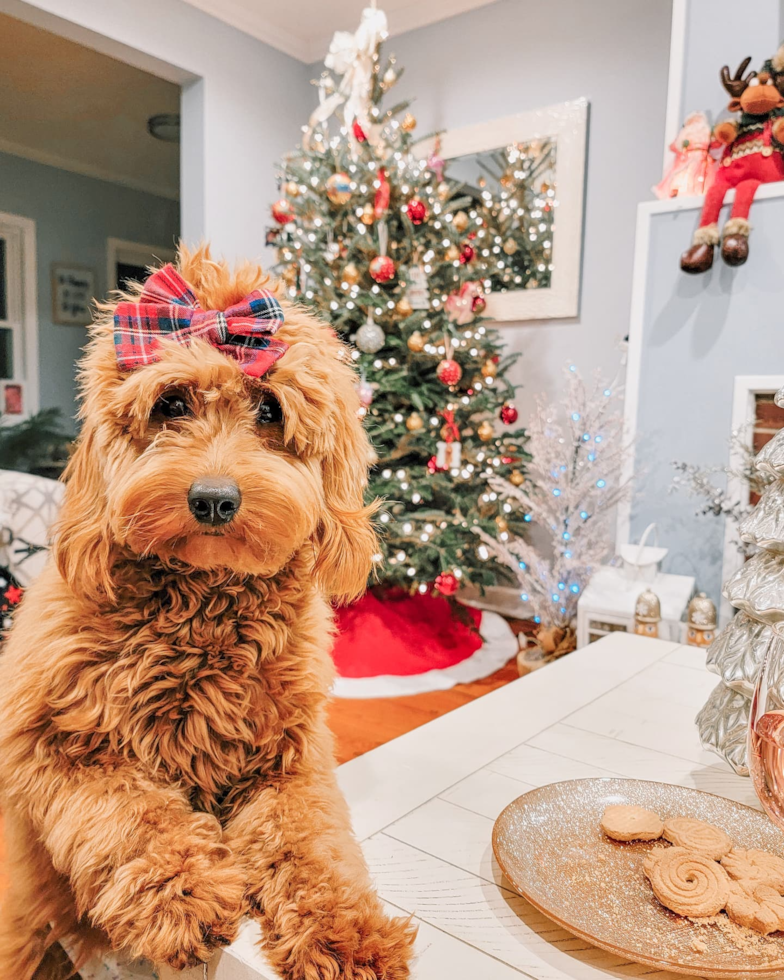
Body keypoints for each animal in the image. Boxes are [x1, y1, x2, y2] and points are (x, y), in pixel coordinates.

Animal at [0, 247, 416, 980]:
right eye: (171, 403)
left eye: (271, 409)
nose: (214, 499)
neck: (203, 605)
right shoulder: (58, 747)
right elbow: (134, 816)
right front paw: (185, 895)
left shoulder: (288, 759)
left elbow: (310, 839)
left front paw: (347, 931)